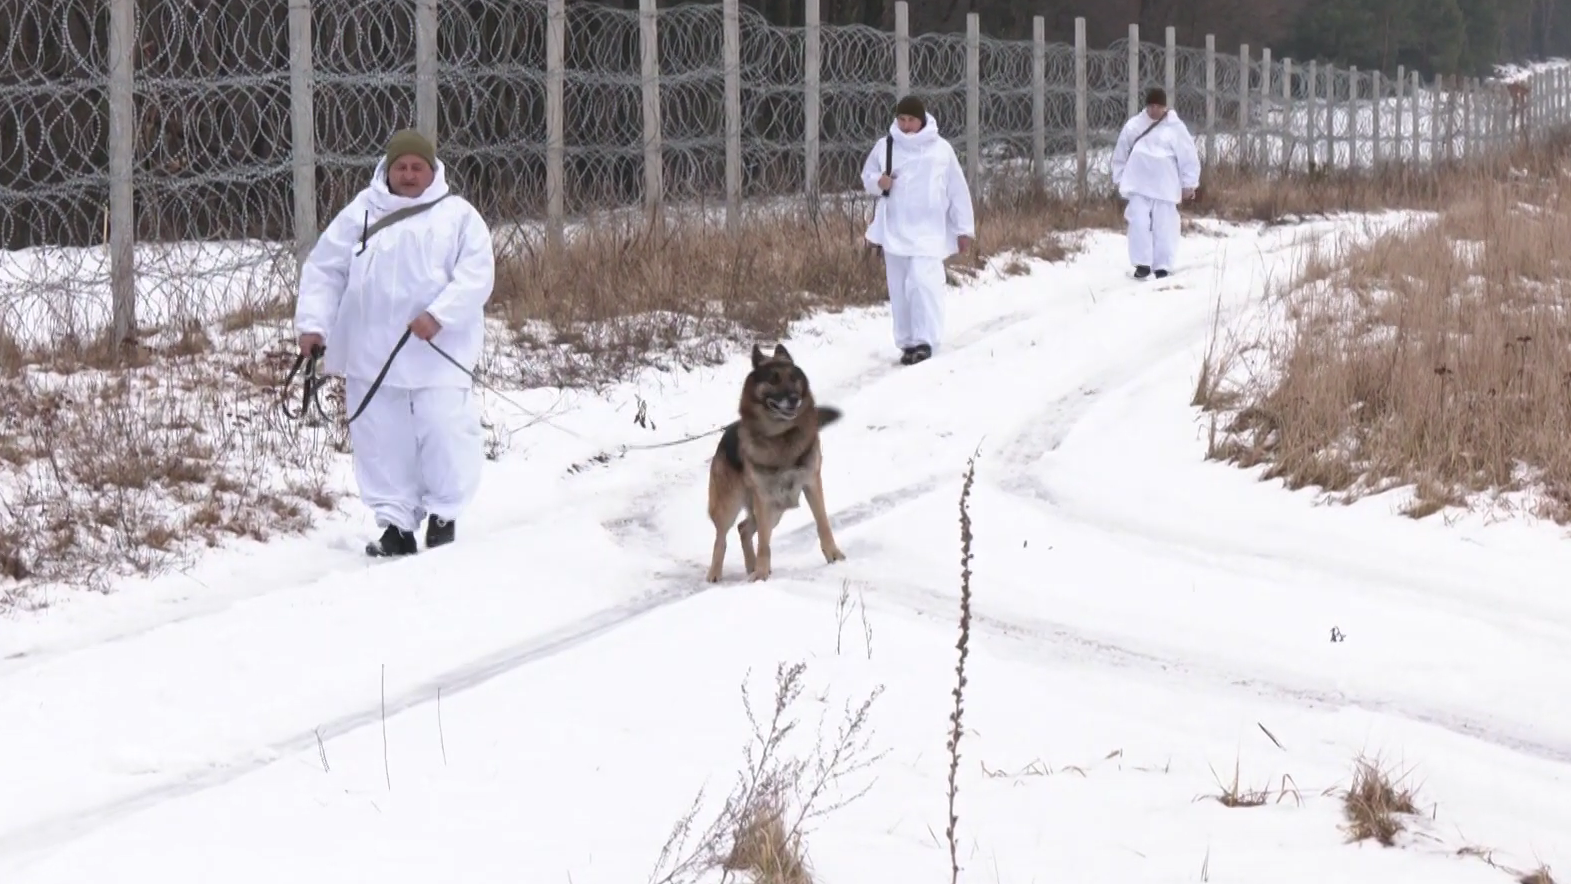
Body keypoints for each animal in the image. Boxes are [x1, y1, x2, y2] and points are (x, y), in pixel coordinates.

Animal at [706, 342, 848, 584]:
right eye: (773, 380)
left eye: (793, 378)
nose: (794, 398)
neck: (781, 436)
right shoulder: (763, 497)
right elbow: (764, 543)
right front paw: (761, 573)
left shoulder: (811, 483)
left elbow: (823, 523)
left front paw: (834, 555)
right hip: (733, 505)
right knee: (722, 537)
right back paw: (716, 573)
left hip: (778, 507)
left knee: (743, 529)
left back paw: (751, 566)